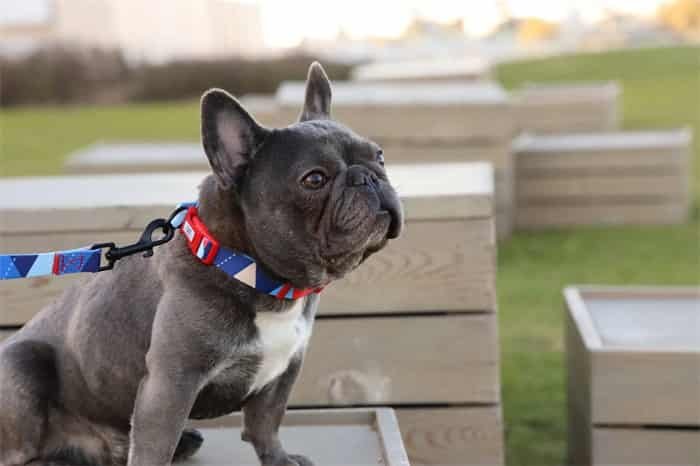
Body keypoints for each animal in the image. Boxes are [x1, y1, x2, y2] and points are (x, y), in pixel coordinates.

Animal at [0, 62, 402, 466]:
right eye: (315, 179)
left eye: (380, 156)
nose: (367, 176)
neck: (253, 274)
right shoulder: (171, 383)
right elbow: (154, 448)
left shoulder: (283, 371)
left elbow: (266, 424)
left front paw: (279, 459)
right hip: (22, 368)